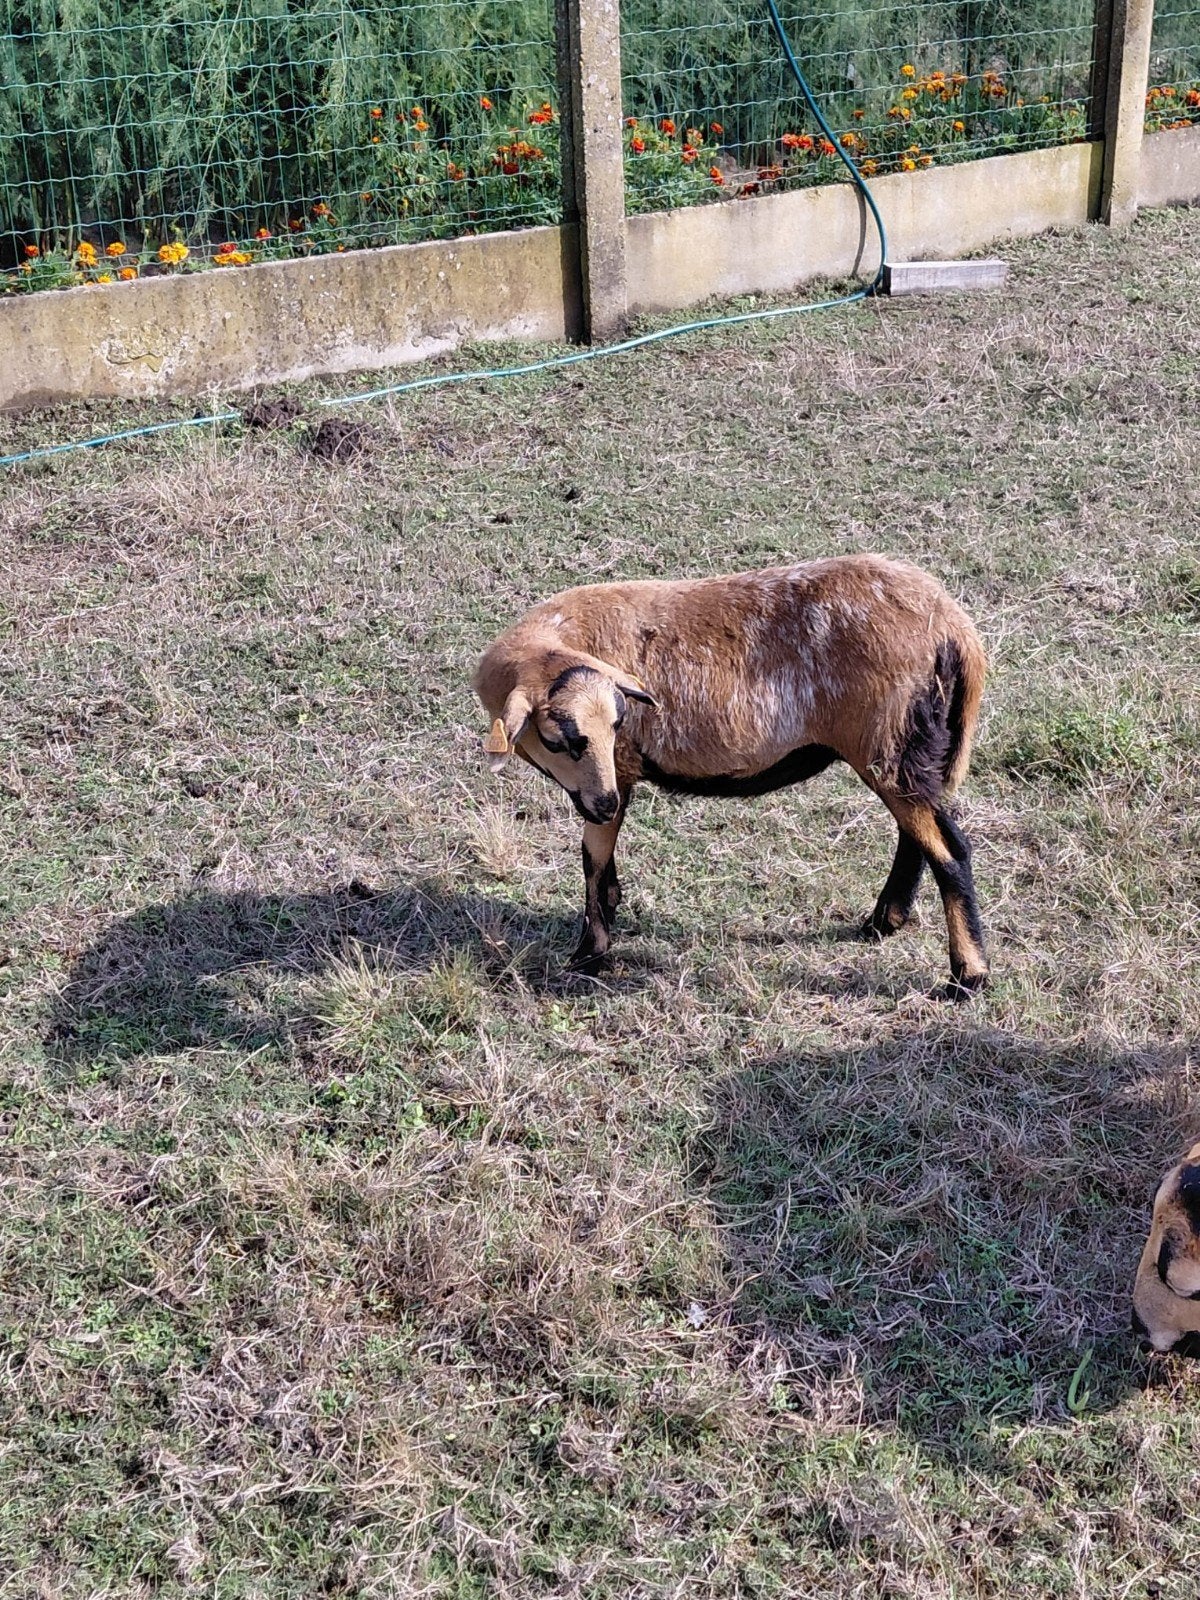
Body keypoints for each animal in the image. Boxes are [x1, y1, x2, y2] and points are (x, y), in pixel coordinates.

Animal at [473, 554, 988, 995]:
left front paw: (588, 957)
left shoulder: (616, 770)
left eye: (617, 724)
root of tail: (954, 627)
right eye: (558, 739)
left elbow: (594, 863)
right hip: (908, 749)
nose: (604, 804)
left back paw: (968, 975)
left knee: (950, 850)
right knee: (916, 835)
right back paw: (885, 922)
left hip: (888, 742)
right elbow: (601, 864)